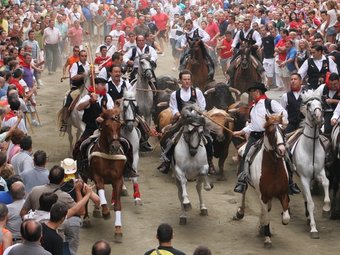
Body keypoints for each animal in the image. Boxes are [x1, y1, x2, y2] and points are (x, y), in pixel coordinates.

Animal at [86, 108, 126, 243]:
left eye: (120, 125)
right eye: (107, 125)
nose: (115, 146)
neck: (108, 154)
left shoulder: (118, 179)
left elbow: (118, 205)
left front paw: (118, 230)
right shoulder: (97, 176)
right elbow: (100, 191)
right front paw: (106, 212)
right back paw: (87, 218)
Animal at [234, 114, 290, 249]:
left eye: (283, 130)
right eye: (270, 131)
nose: (282, 150)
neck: (273, 168)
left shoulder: (282, 193)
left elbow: (285, 218)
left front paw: (265, 230)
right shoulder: (263, 195)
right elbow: (266, 218)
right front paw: (267, 238)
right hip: (246, 183)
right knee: (244, 193)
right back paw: (240, 212)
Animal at [290, 88, 330, 238]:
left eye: (320, 103)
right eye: (308, 105)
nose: (319, 117)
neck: (310, 147)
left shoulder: (320, 172)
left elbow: (326, 183)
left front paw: (326, 208)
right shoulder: (304, 177)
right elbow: (311, 203)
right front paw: (314, 229)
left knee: (306, 197)